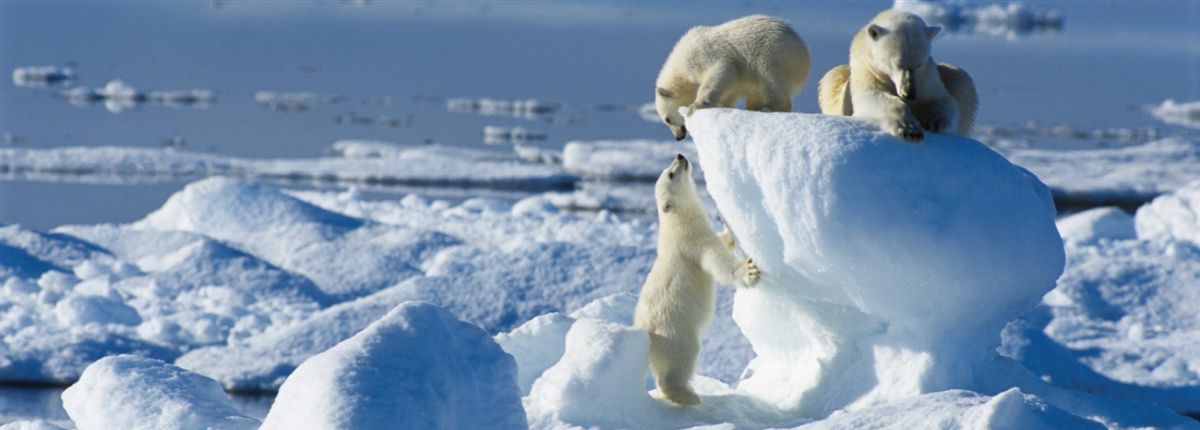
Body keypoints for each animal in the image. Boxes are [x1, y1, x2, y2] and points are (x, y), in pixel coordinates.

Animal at [628, 154, 758, 405]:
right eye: (670, 173)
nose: (680, 156)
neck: (678, 222)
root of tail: (646, 332)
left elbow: (720, 241)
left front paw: (728, 231)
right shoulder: (693, 244)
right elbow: (718, 263)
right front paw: (749, 271)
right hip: (675, 331)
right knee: (682, 357)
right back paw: (687, 395)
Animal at [657, 14, 816, 139]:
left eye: (667, 119)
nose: (678, 137)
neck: (680, 59)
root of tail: (804, 50)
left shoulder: (702, 55)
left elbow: (720, 70)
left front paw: (695, 106)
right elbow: (730, 87)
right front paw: (723, 105)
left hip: (773, 55)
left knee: (771, 79)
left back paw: (767, 107)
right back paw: (753, 107)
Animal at [820, 9, 979, 141]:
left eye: (919, 63)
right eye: (898, 64)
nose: (909, 94)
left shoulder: (926, 77)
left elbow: (944, 99)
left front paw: (933, 121)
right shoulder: (868, 71)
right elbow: (873, 97)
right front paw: (909, 129)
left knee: (960, 78)